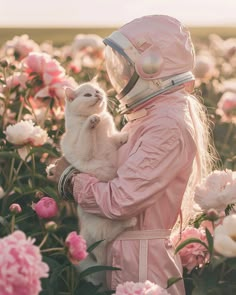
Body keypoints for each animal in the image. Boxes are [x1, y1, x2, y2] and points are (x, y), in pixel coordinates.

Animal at [60, 82, 136, 288]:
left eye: (98, 91)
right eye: (87, 95)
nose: (98, 95)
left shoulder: (108, 136)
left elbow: (113, 138)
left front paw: (123, 136)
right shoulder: (83, 150)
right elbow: (87, 135)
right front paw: (91, 121)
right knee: (115, 230)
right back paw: (131, 221)